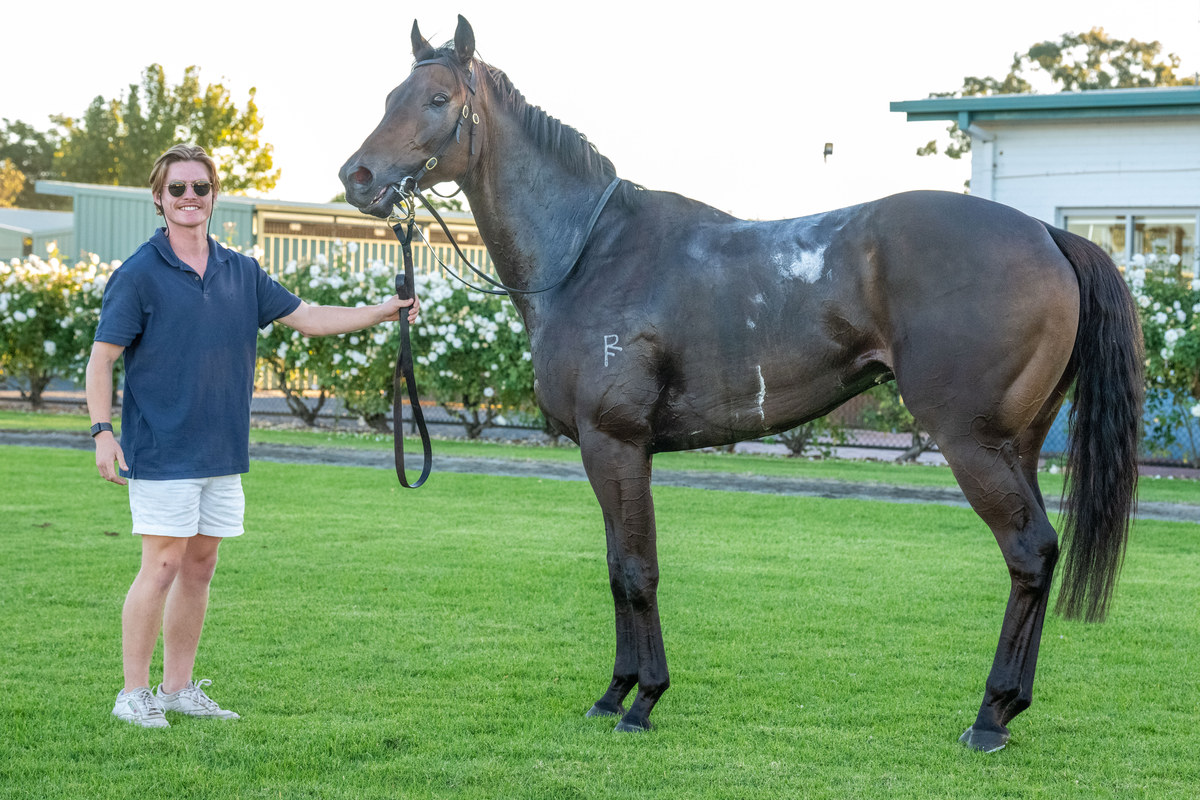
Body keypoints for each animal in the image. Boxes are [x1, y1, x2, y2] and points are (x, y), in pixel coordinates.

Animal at [339, 16, 1144, 752]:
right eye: (390, 96)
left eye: (438, 99)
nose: (358, 177)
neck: (592, 253)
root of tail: (1048, 235)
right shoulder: (605, 453)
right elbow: (615, 568)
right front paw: (614, 692)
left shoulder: (615, 445)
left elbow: (637, 570)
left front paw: (643, 701)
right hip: (1017, 444)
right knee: (1039, 556)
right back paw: (1009, 710)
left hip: (971, 443)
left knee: (1028, 551)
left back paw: (988, 715)